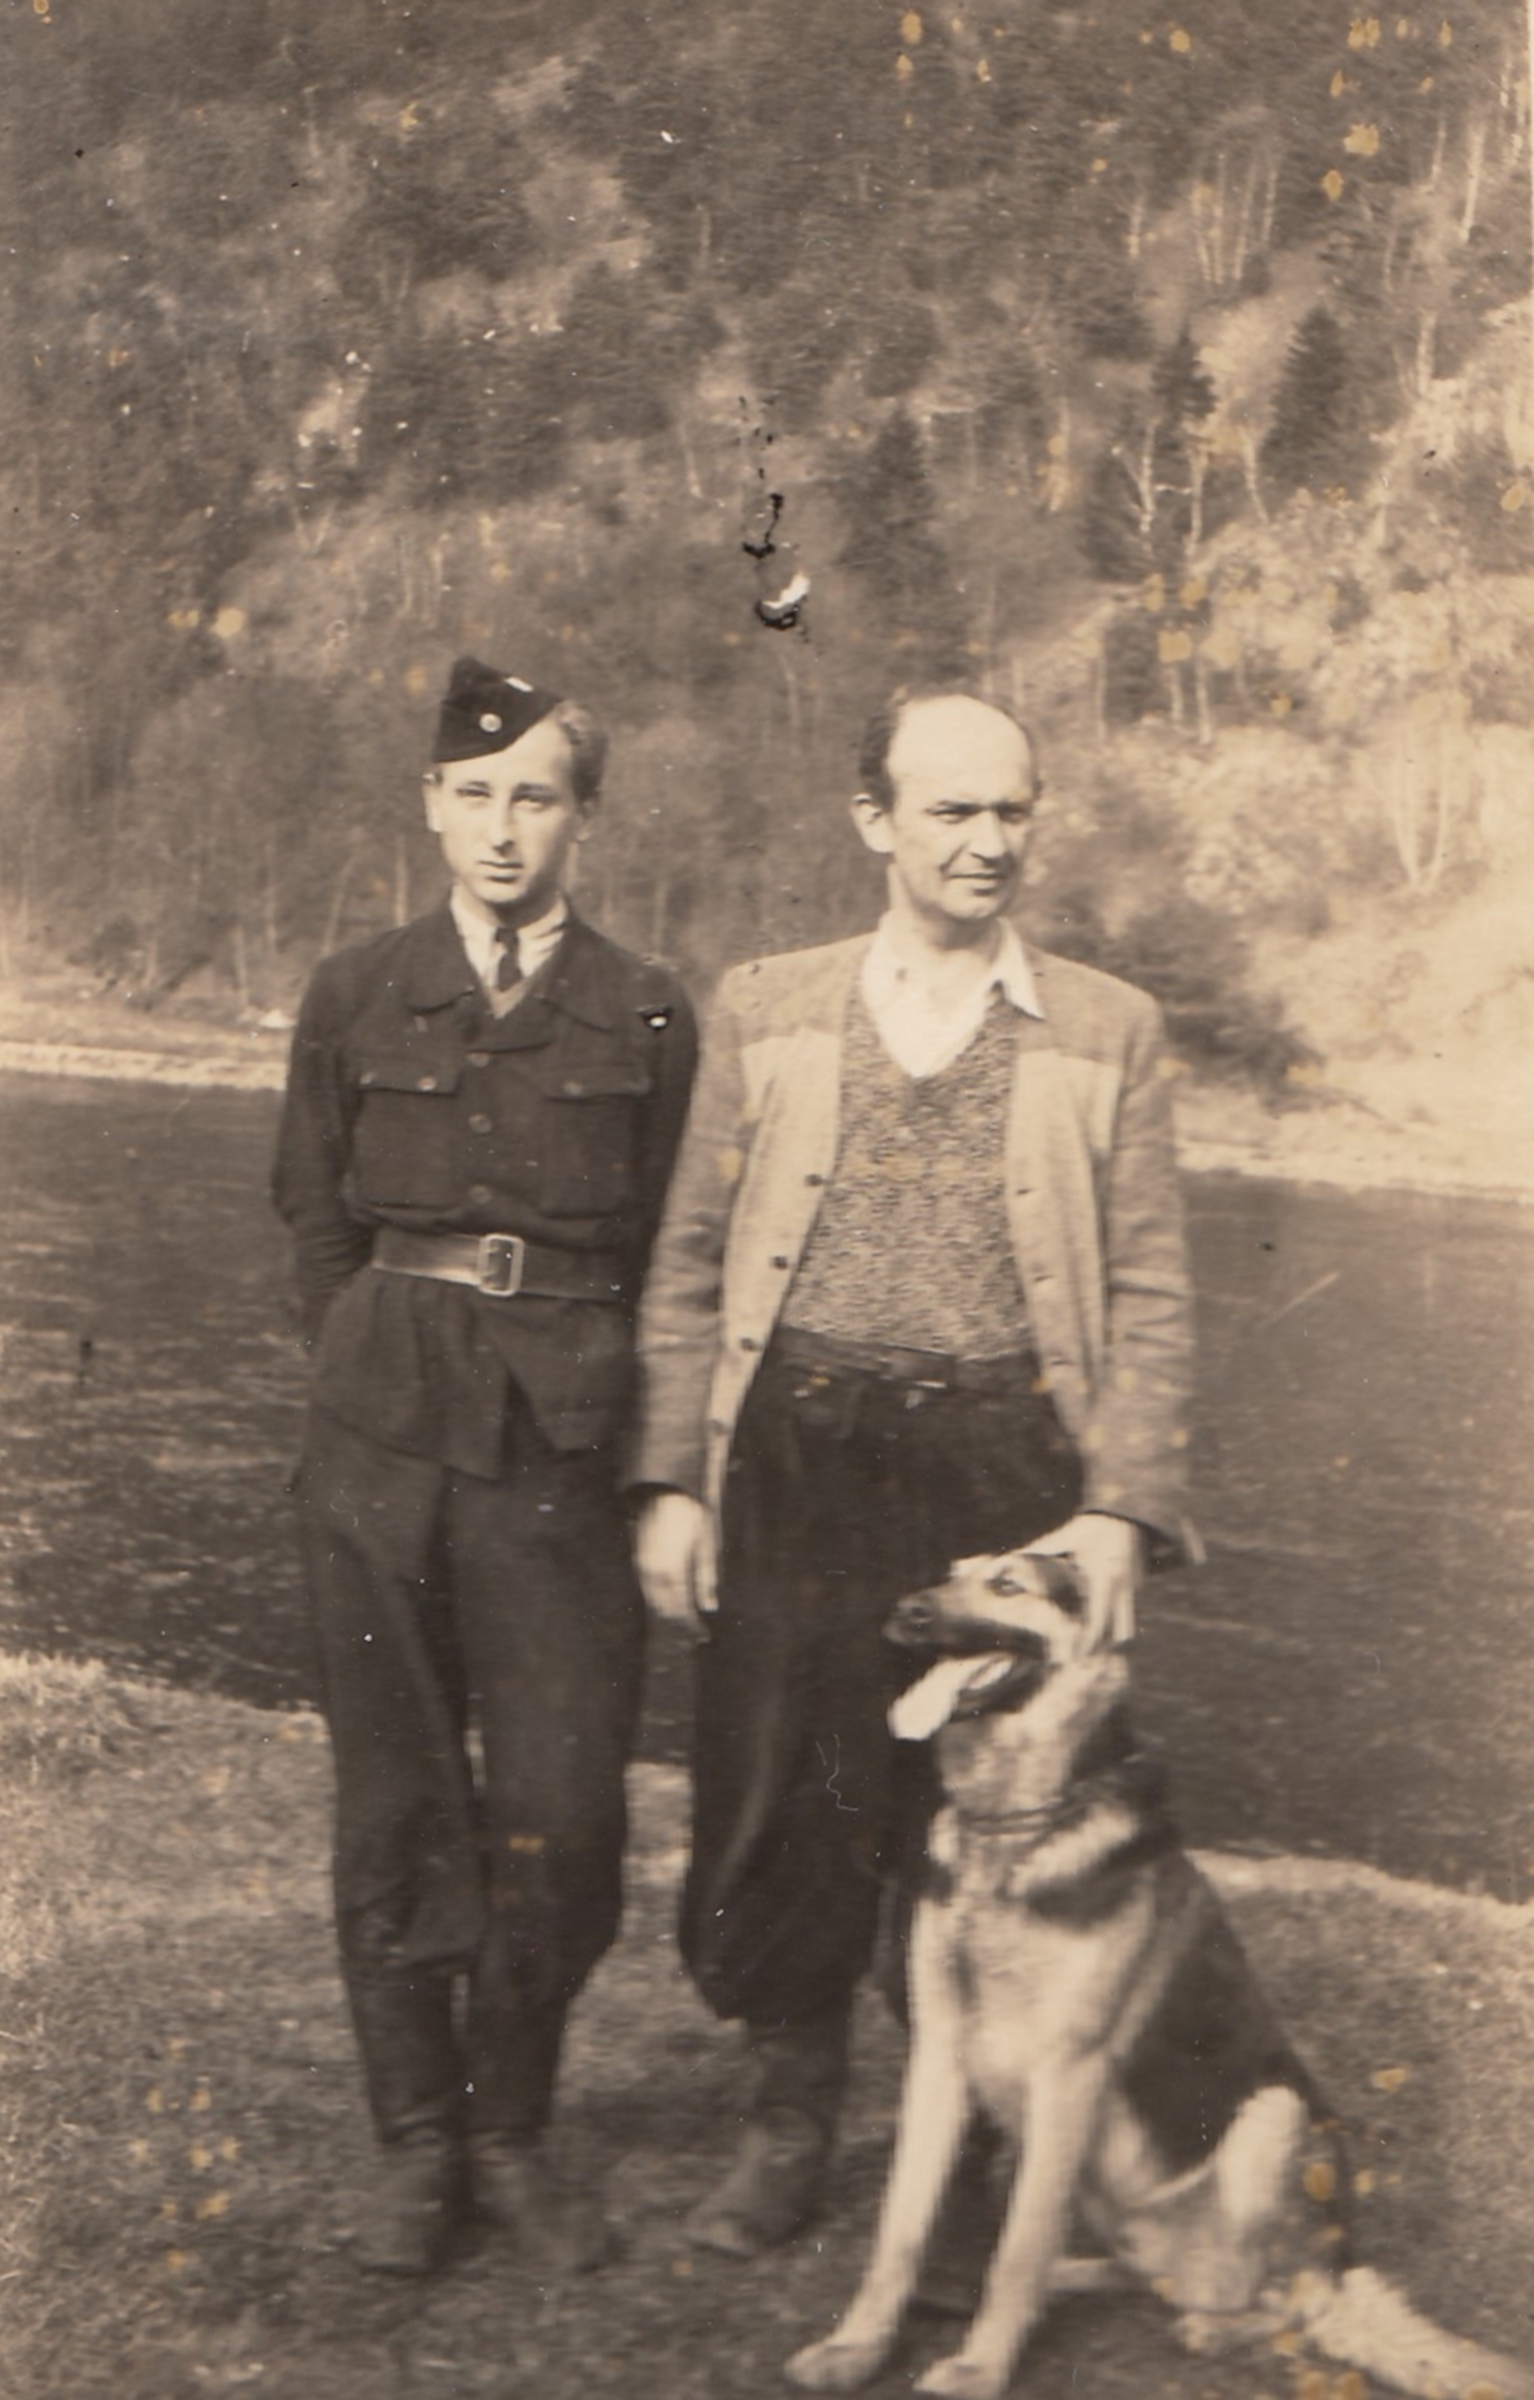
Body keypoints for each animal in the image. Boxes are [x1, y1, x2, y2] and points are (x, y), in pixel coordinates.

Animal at [785, 1551, 1532, 2400]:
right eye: (952, 1574)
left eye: (1007, 1585)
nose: (906, 1612)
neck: (1013, 1829)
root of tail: (1339, 2269)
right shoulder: (940, 2058)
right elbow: (901, 2231)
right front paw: (856, 2346)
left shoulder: (1066, 2074)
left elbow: (1018, 2248)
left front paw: (979, 2367)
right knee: (1139, 2274)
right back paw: (1072, 2280)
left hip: (1273, 2120)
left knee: (1277, 2304)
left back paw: (1212, 2325)